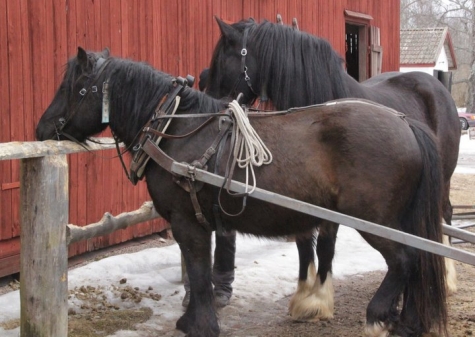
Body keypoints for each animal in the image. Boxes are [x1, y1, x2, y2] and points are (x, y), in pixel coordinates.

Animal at [35, 48, 448, 336]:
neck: (173, 128)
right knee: (421, 262)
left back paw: (378, 316)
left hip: (374, 220)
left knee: (406, 260)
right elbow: (201, 272)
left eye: (76, 88)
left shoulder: (187, 222)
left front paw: (199, 324)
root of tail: (406, 123)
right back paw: (408, 322)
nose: (41, 129)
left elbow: (199, 272)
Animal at [207, 17, 462, 320]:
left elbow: (326, 244)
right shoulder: (301, 195)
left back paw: (446, 278)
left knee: (443, 217)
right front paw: (305, 296)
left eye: (222, 57)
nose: (211, 102)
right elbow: (304, 242)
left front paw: (318, 300)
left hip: (441, 180)